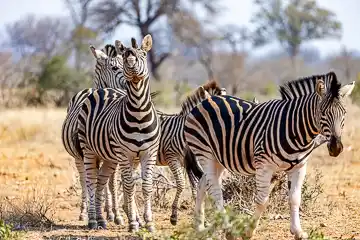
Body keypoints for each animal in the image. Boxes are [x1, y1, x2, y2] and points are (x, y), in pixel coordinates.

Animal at [77, 34, 160, 232]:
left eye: (143, 55)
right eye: (125, 56)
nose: (131, 63)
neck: (139, 112)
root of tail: (103, 89)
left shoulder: (149, 152)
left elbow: (145, 185)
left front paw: (148, 222)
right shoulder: (124, 154)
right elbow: (129, 186)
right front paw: (133, 223)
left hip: (108, 157)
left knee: (101, 181)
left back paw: (101, 219)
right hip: (89, 151)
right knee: (90, 180)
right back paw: (93, 219)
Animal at [183, 71, 354, 240]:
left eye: (344, 114)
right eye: (322, 113)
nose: (336, 148)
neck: (294, 129)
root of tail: (207, 99)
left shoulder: (299, 166)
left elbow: (295, 199)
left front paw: (298, 231)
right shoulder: (264, 166)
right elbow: (262, 201)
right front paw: (248, 232)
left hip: (220, 158)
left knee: (203, 183)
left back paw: (199, 227)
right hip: (205, 153)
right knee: (215, 191)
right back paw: (228, 230)